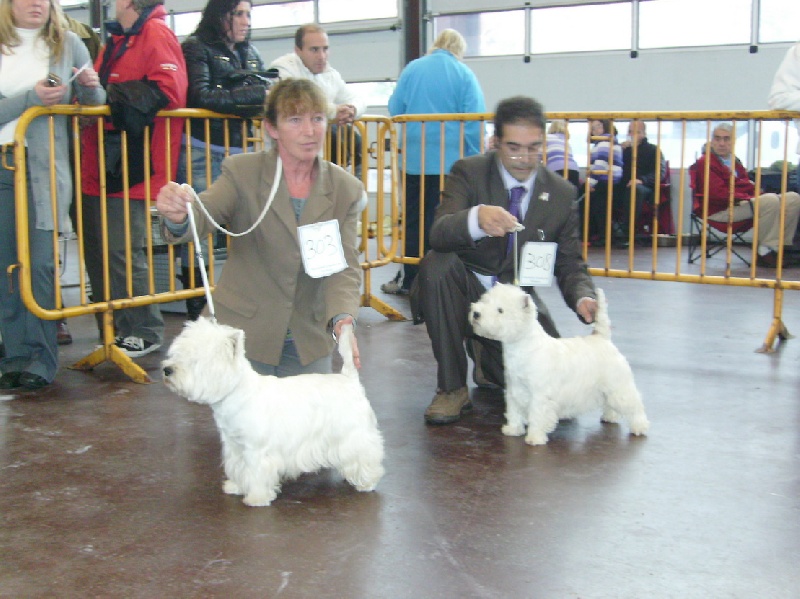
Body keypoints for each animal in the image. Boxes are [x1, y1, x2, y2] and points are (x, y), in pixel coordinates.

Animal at [162, 318, 384, 506]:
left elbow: (256, 473)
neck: (236, 392)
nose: (167, 370)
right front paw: (235, 486)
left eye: (194, 360)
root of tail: (349, 379)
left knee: (366, 454)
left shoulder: (256, 449)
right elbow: (237, 467)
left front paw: (256, 498)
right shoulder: (234, 445)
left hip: (353, 434)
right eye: (176, 354)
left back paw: (366, 481)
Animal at [468, 286, 648, 446]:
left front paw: (535, 438)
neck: (522, 347)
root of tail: (602, 338)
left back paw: (640, 427)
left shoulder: (539, 395)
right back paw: (610, 417)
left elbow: (537, 416)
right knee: (611, 403)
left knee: (633, 405)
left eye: (500, 310)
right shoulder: (514, 389)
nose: (476, 313)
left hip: (618, 385)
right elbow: (514, 411)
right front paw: (513, 429)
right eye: (485, 300)